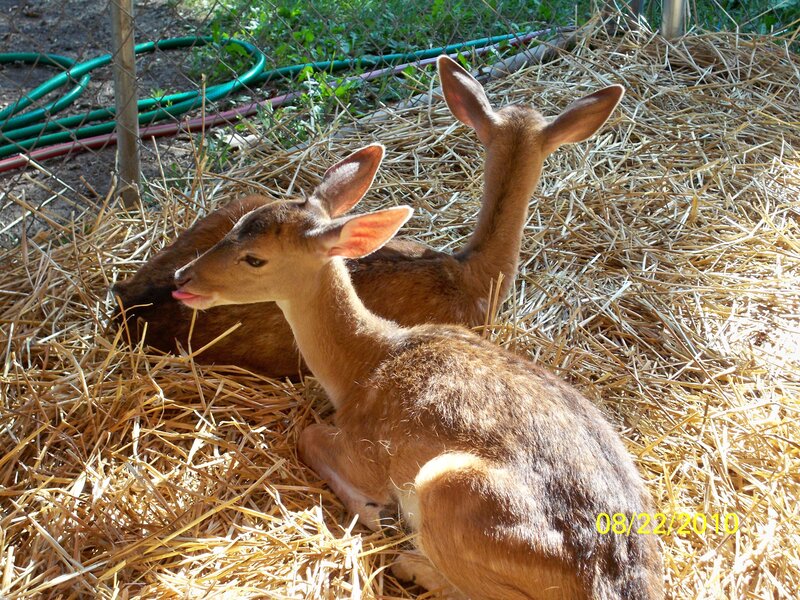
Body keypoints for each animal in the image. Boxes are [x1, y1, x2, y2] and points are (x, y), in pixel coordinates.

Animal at [169, 132, 664, 599]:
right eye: (235, 225)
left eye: (255, 258)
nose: (181, 277)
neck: (361, 366)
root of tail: (613, 583)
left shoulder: (366, 446)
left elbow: (307, 436)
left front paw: (375, 511)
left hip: (450, 490)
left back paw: (409, 560)